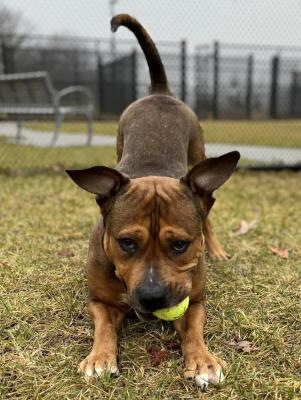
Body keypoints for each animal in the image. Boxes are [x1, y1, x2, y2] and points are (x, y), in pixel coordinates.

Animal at [66, 14, 239, 390]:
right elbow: (104, 328)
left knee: (209, 213)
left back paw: (217, 249)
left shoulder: (194, 300)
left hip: (198, 153)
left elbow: (193, 330)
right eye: (127, 242)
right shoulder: (99, 301)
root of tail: (160, 93)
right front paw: (99, 358)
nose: (153, 297)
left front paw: (202, 360)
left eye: (180, 245)